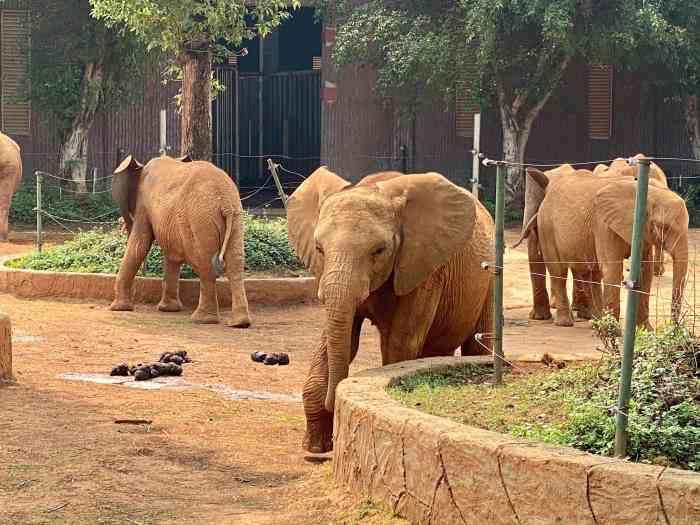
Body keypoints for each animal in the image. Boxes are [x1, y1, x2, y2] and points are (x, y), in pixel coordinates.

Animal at [109, 154, 252, 326]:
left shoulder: (143, 204)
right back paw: (240, 323)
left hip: (200, 220)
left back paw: (202, 319)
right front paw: (168, 309)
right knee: (234, 263)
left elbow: (139, 244)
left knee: (204, 263)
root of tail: (225, 202)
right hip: (235, 217)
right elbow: (171, 254)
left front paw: (118, 309)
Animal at [288, 167, 494, 450]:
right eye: (319, 248)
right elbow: (340, 339)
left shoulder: (424, 268)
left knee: (476, 343)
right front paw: (315, 449)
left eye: (379, 250)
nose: (334, 402)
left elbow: (402, 342)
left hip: (491, 275)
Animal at [516, 167, 688, 328]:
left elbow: (645, 272)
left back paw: (595, 322)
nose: (673, 327)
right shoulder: (603, 225)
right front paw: (615, 332)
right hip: (547, 226)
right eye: (662, 227)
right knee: (559, 271)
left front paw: (646, 330)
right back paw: (566, 323)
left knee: (591, 272)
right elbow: (612, 269)